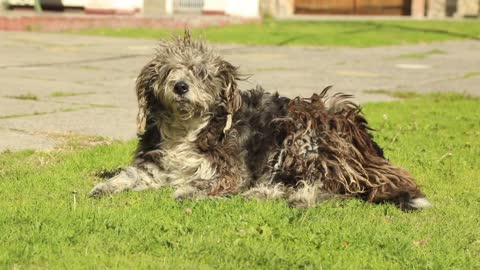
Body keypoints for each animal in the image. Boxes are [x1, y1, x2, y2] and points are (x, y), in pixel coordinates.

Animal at [89, 32, 432, 211]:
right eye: (168, 71)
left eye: (201, 72)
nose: (181, 87)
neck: (189, 128)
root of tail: (367, 150)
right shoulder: (155, 162)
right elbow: (129, 175)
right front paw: (104, 186)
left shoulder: (232, 171)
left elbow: (204, 181)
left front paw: (188, 191)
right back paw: (266, 193)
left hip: (301, 134)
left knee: (327, 185)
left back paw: (292, 197)